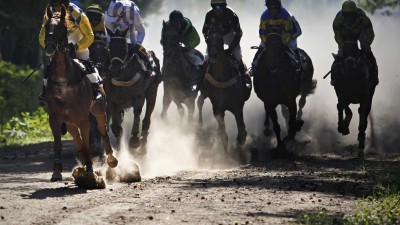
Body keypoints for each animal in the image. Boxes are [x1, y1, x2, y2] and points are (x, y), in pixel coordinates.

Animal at [44, 5, 119, 183]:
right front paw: (56, 171)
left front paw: (91, 171)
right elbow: (59, 144)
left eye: (62, 28)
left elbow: (87, 144)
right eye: (47, 26)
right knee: (77, 140)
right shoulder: (55, 117)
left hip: (99, 110)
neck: (64, 81)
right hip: (70, 121)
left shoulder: (83, 117)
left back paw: (111, 160)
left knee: (102, 130)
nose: (50, 46)